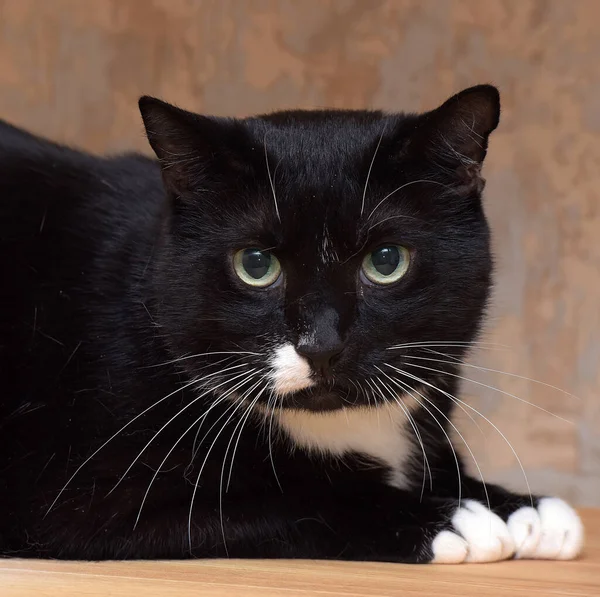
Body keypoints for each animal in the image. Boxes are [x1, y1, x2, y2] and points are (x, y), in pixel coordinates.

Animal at [0, 85, 580, 564]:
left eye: (386, 261)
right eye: (255, 265)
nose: (321, 344)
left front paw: (522, 507)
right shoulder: (83, 498)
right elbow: (286, 497)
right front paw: (448, 518)